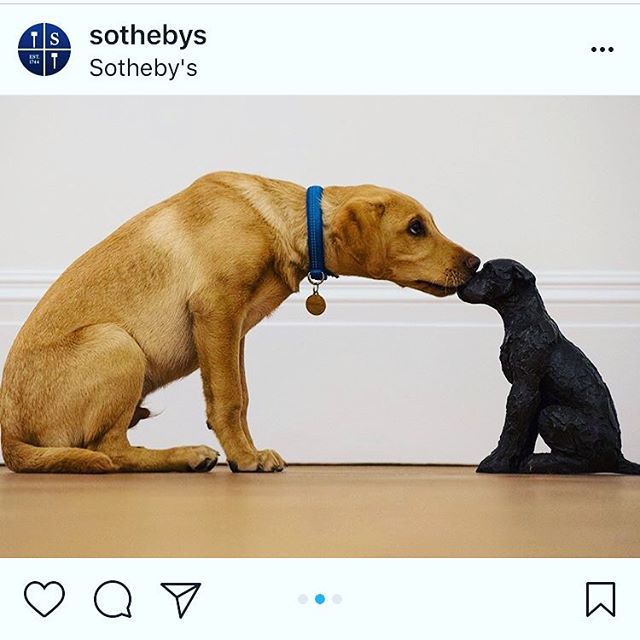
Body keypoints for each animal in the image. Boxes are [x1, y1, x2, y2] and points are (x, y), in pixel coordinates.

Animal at [0, 172, 478, 472]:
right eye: (415, 228)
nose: (475, 263)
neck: (280, 222)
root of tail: (10, 434)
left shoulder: (235, 329)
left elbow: (241, 397)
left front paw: (245, 452)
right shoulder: (216, 310)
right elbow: (228, 400)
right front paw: (245, 460)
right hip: (116, 342)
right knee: (110, 450)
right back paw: (184, 455)